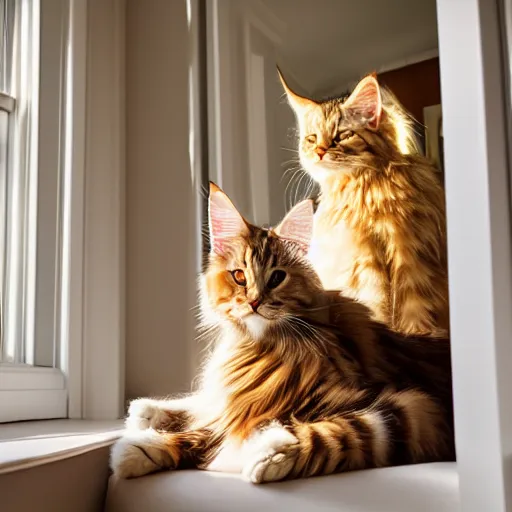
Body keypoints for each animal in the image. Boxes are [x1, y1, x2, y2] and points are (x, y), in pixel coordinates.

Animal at [110, 182, 454, 482]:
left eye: (277, 278)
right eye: (239, 276)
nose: (254, 301)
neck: (257, 346)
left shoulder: (413, 408)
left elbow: (341, 432)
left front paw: (268, 453)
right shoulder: (237, 404)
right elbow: (205, 421)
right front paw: (144, 438)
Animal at [278, 70, 450, 338]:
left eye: (343, 135)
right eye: (312, 138)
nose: (319, 151)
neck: (367, 192)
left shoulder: (412, 263)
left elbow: (415, 321)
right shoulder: (366, 266)